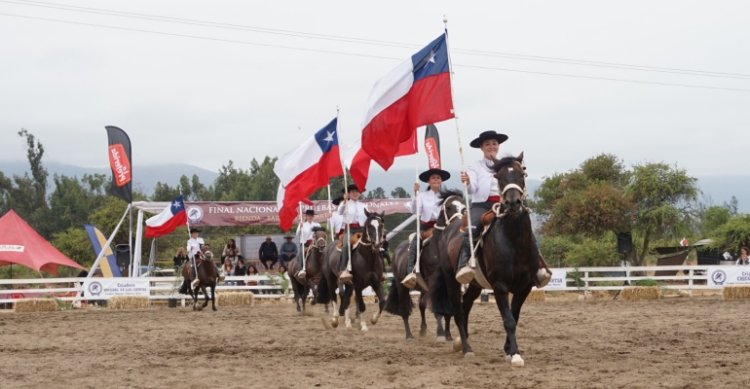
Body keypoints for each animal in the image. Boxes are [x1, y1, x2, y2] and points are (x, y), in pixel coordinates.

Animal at [384, 189, 468, 342]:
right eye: (449, 207)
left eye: (463, 206)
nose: (461, 223)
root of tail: (397, 251)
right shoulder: (435, 283)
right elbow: (438, 310)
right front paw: (440, 333)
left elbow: (447, 311)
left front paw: (448, 335)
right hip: (401, 286)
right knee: (404, 309)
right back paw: (409, 335)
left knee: (421, 304)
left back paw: (423, 330)